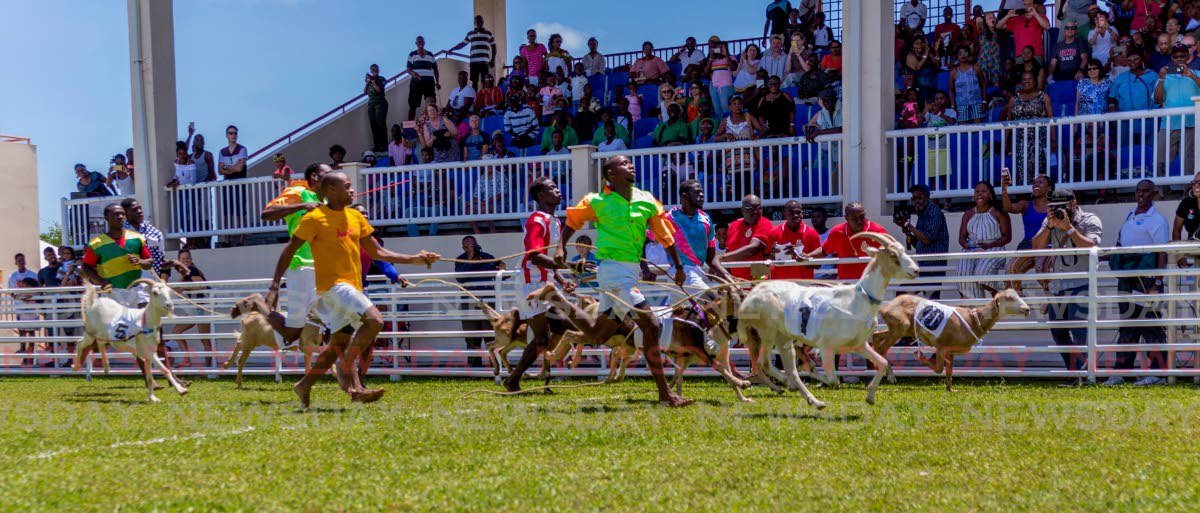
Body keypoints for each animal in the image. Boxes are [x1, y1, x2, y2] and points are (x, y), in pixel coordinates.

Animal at [729, 232, 916, 409]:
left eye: (903, 250)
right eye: (892, 254)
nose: (915, 270)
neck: (858, 298)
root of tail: (749, 299)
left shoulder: (859, 345)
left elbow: (883, 363)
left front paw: (870, 398)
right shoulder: (827, 346)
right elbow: (833, 379)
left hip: (783, 338)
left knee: (788, 369)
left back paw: (814, 401)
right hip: (768, 332)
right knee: (764, 362)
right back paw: (788, 385)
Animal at [873, 288, 1032, 393]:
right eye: (1010, 298)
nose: (1027, 309)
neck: (974, 321)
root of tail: (886, 307)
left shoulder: (951, 350)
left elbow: (949, 370)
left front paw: (950, 389)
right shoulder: (941, 347)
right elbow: (939, 369)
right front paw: (920, 356)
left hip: (899, 329)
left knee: (876, 336)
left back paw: (877, 365)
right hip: (901, 326)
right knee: (882, 348)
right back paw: (890, 376)